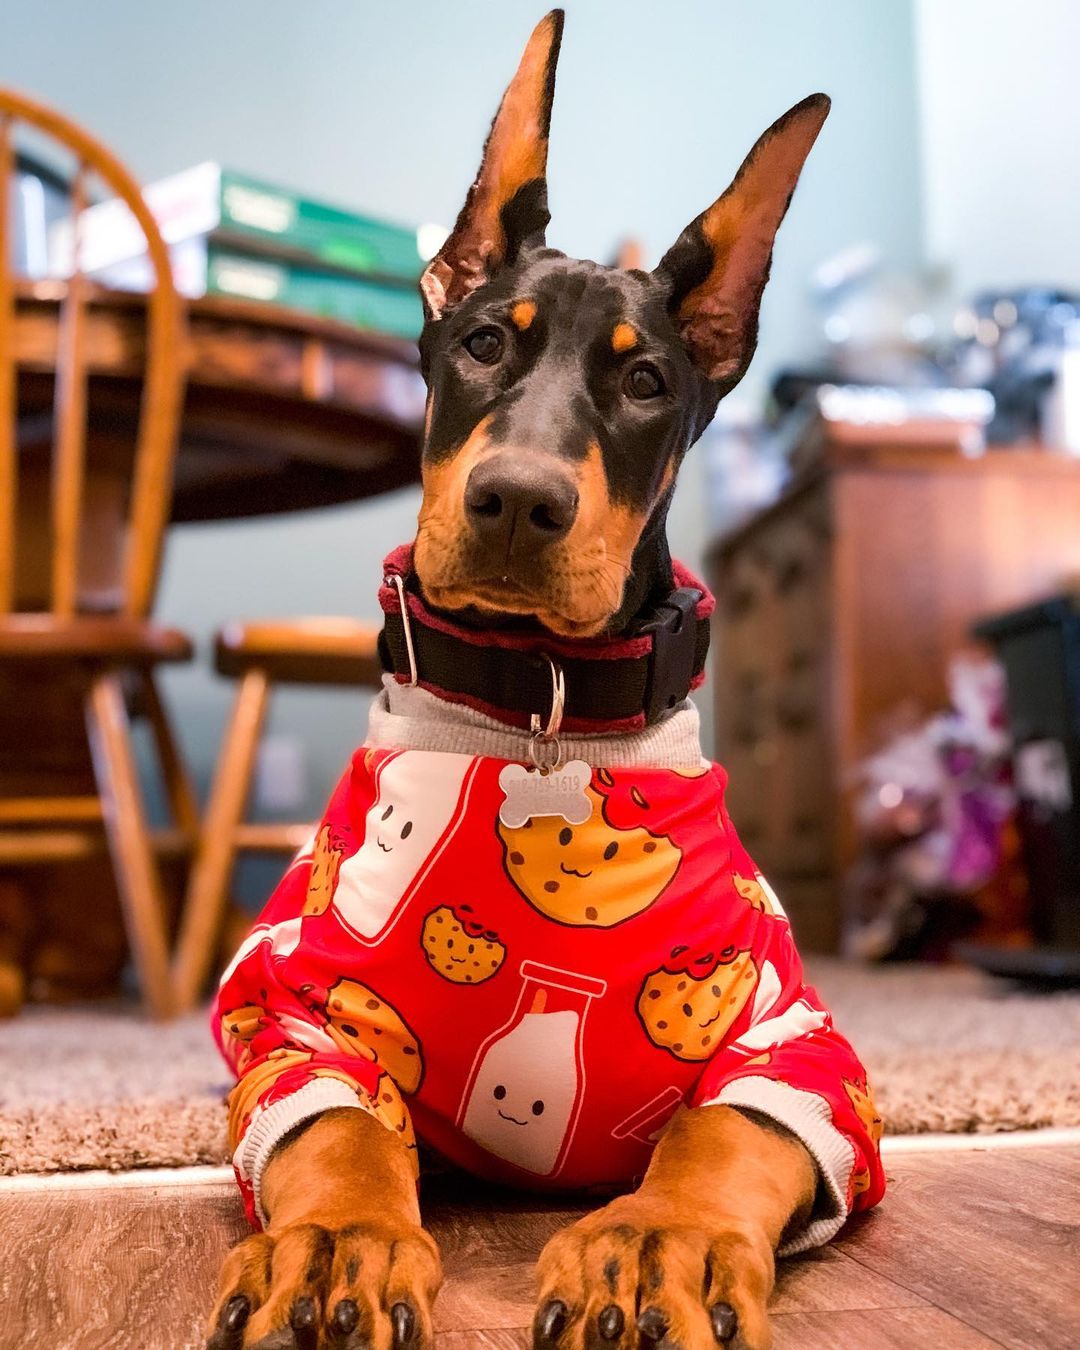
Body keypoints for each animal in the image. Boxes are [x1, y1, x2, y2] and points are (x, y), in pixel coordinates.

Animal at [206, 13, 880, 1350]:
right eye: (481, 343)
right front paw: (339, 1239)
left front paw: (659, 1241)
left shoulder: (798, 1042)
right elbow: (337, 1126)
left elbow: (731, 1125)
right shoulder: (289, 1009)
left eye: (646, 382)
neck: (542, 714)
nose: (518, 501)